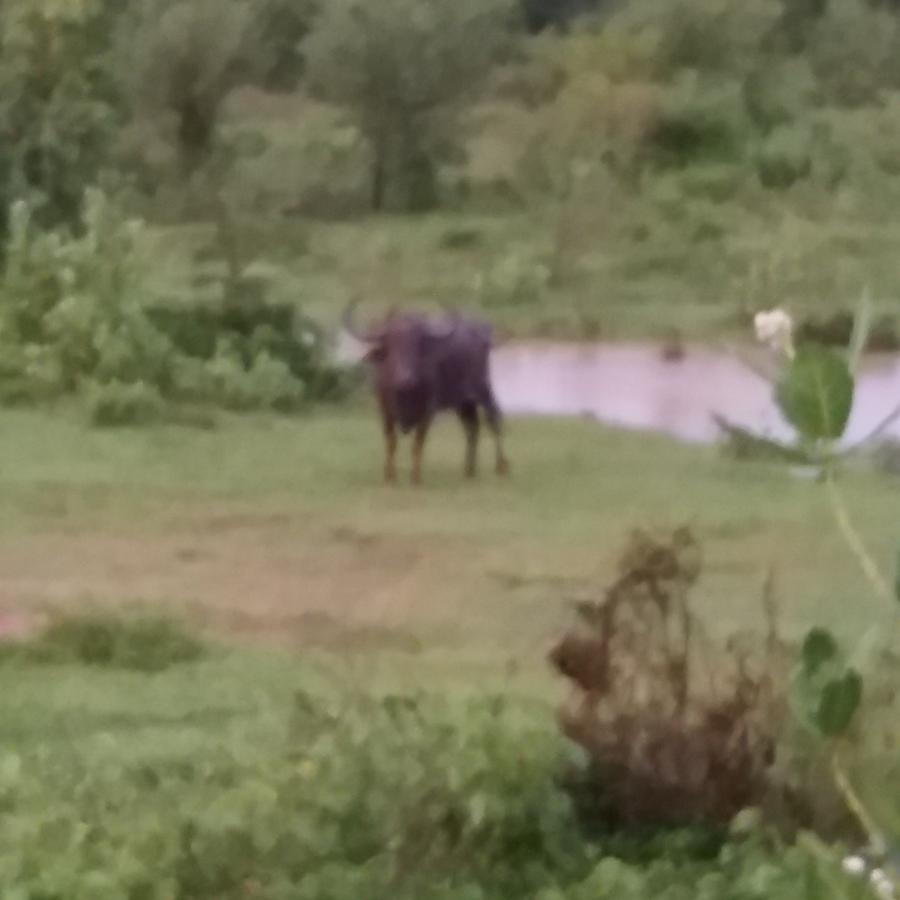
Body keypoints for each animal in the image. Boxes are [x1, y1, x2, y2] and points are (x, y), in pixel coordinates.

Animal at [342, 300, 510, 486]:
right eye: (392, 346)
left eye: (416, 344)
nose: (406, 377)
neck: (404, 393)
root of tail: (483, 330)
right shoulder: (385, 410)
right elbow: (391, 442)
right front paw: (390, 477)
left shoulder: (427, 411)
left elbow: (417, 444)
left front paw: (415, 478)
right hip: (463, 402)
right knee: (472, 427)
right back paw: (469, 470)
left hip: (483, 388)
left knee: (493, 419)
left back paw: (501, 466)